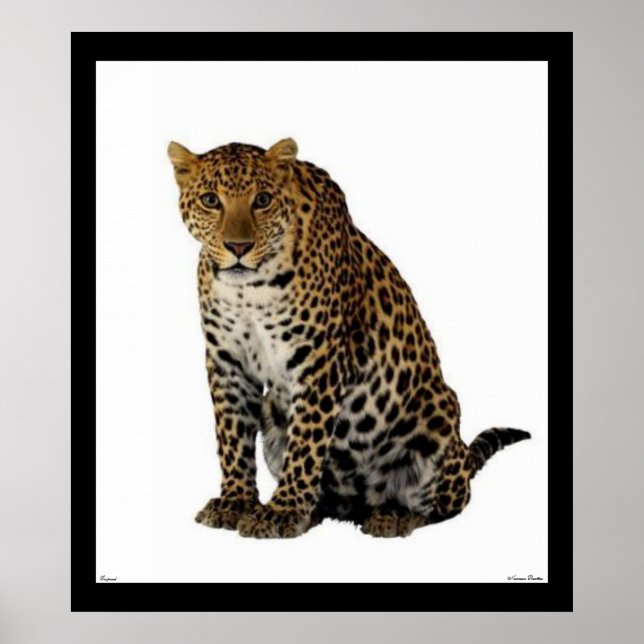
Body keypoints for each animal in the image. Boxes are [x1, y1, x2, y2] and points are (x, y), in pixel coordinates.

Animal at [168, 137, 530, 539]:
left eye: (262, 200)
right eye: (210, 200)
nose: (238, 247)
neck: (249, 289)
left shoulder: (319, 359)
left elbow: (306, 442)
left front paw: (281, 511)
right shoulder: (227, 360)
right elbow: (232, 436)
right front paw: (236, 502)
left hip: (438, 415)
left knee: (446, 504)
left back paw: (393, 515)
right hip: (273, 418)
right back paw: (318, 510)